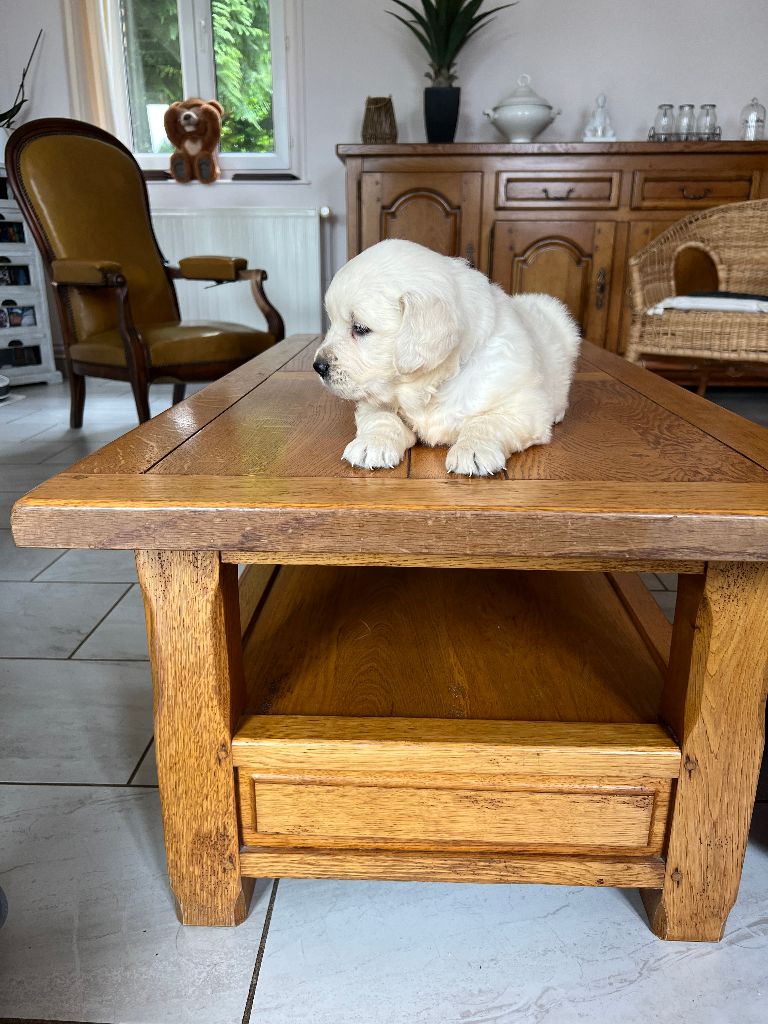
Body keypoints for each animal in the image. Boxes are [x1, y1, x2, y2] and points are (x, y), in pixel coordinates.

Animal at [313, 239, 581, 476]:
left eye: (360, 328)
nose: (318, 366)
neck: (433, 384)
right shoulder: (373, 399)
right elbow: (382, 417)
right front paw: (372, 444)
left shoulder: (524, 408)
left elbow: (486, 421)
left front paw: (472, 450)